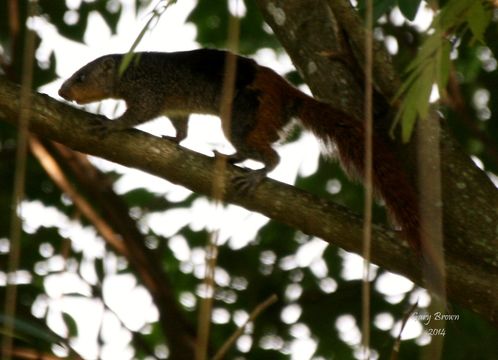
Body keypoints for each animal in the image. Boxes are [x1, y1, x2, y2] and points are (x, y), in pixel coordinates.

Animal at [60, 49, 422, 253]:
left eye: (81, 77)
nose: (62, 91)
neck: (128, 70)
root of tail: (290, 93)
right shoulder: (175, 106)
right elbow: (181, 127)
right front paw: (175, 140)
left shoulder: (148, 90)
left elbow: (138, 114)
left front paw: (112, 125)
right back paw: (231, 158)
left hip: (245, 114)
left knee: (269, 154)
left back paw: (258, 173)